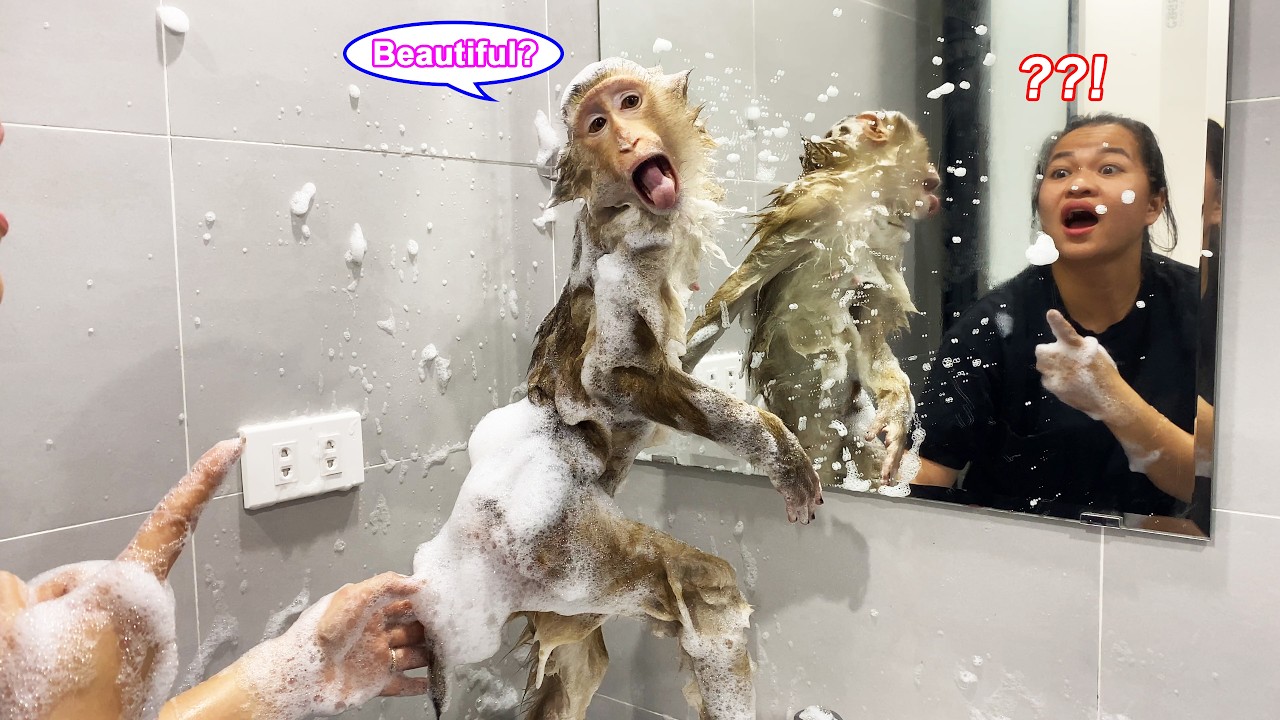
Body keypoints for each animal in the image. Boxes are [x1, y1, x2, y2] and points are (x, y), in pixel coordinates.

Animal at [409, 59, 823, 720]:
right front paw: (777, 452)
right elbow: (611, 377)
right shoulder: (629, 262)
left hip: (557, 593)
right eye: (597, 124)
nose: (627, 140)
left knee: (574, 667)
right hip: (560, 545)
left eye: (630, 102)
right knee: (707, 596)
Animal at [683, 111, 941, 491]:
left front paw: (896, 414)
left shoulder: (886, 242)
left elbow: (868, 335)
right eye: (929, 179)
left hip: (850, 422)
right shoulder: (813, 206)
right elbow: (737, 291)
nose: (935, 186)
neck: (862, 202)